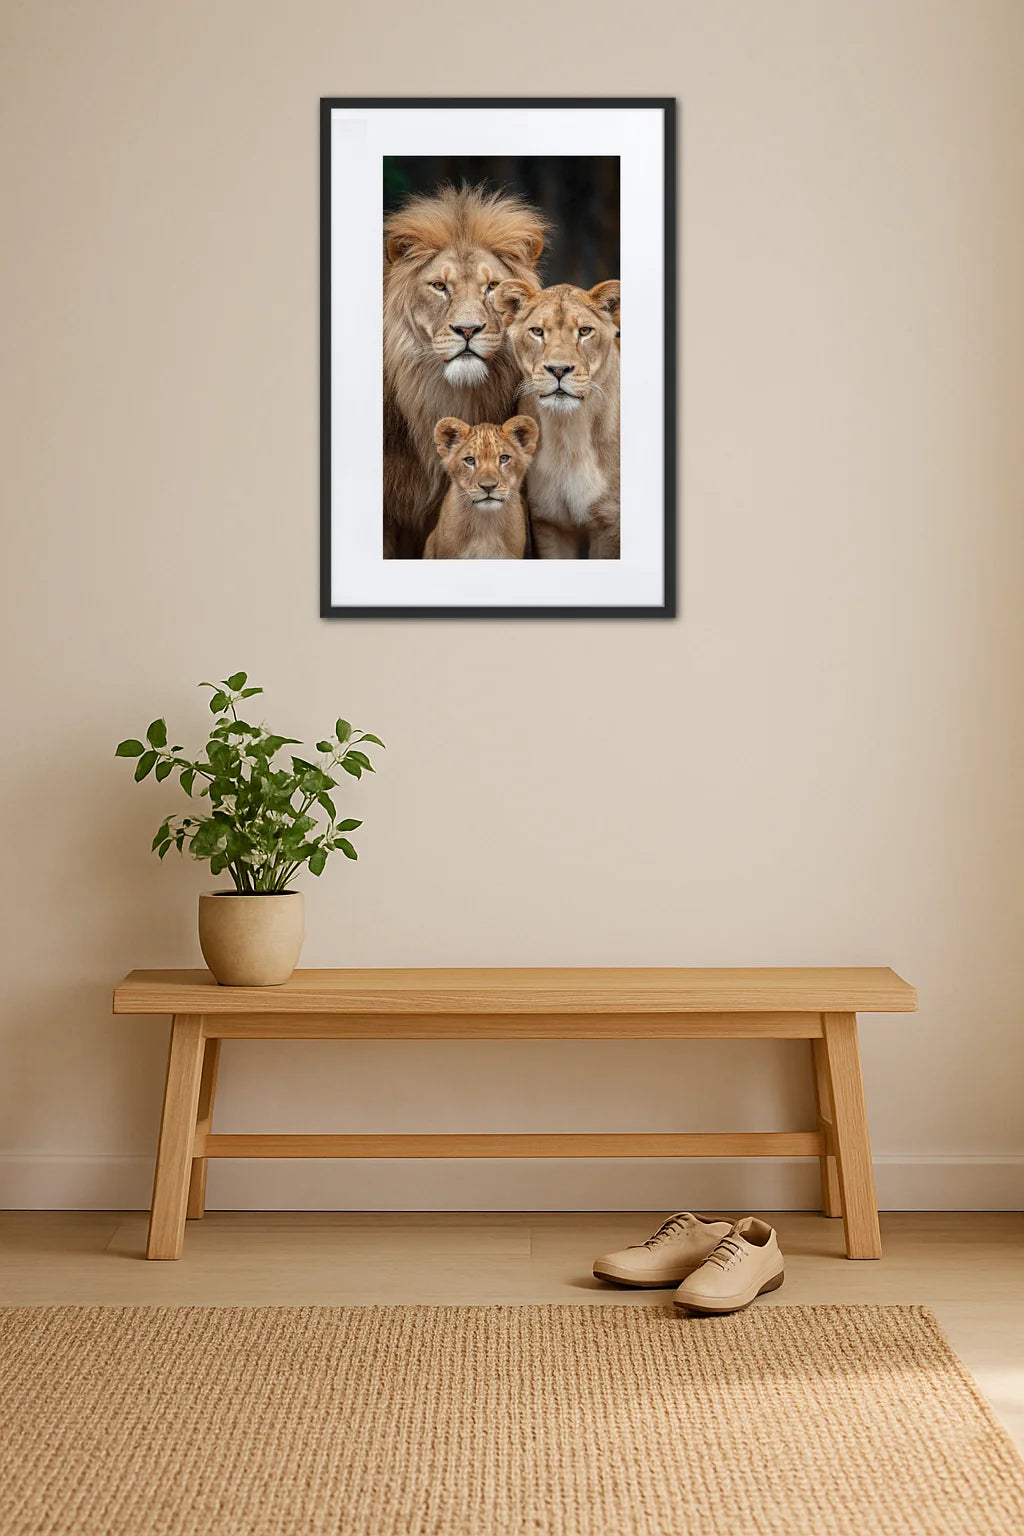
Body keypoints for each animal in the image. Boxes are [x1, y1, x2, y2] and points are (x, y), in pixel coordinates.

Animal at [493, 279, 621, 560]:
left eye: (584, 331)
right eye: (537, 331)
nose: (559, 369)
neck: (567, 432)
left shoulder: (608, 523)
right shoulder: (548, 522)